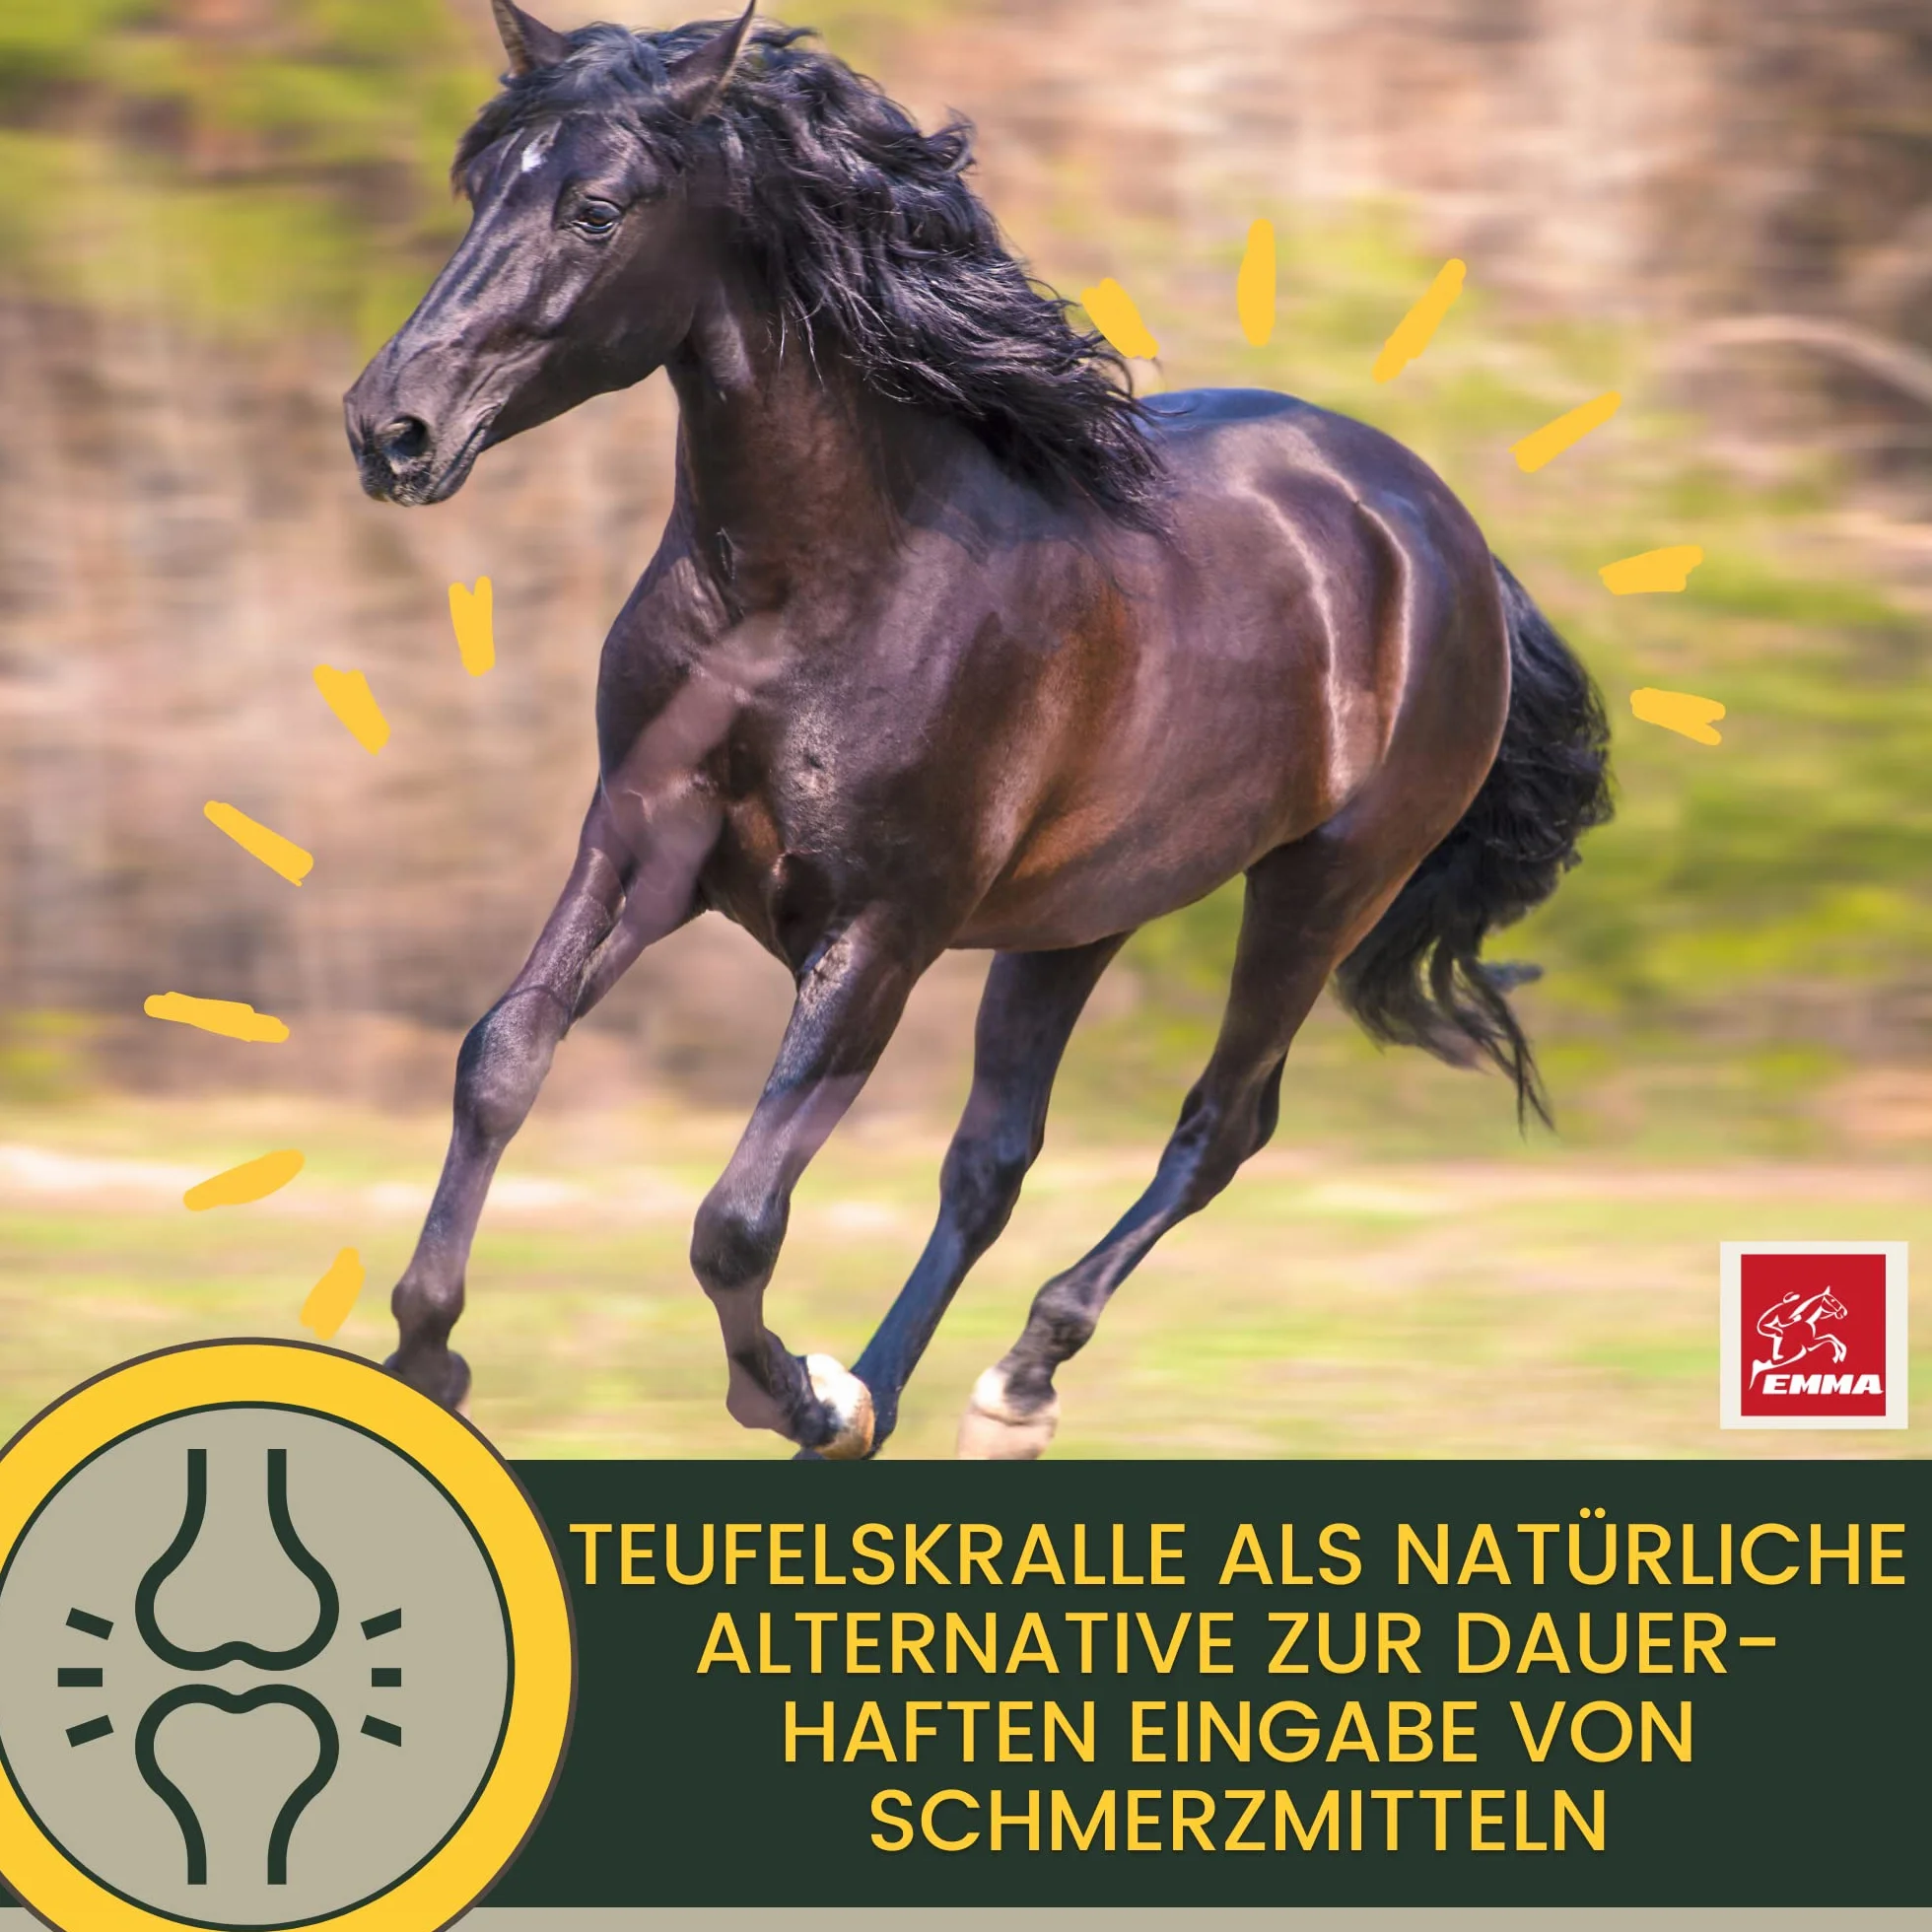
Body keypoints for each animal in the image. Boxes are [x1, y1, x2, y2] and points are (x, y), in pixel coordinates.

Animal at [342, 1, 1613, 1459]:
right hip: (1081, 913)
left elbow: (737, 1217)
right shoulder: (640, 844)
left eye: (597, 209)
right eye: (480, 189)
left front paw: (793, 1389)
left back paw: (1005, 1385)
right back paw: (904, 1397)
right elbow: (502, 1057)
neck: (805, 589)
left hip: (1324, 886)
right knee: (995, 1156)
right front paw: (428, 1355)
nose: (391, 428)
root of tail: (1439, 527)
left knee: (1221, 1123)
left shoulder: (882, 926)